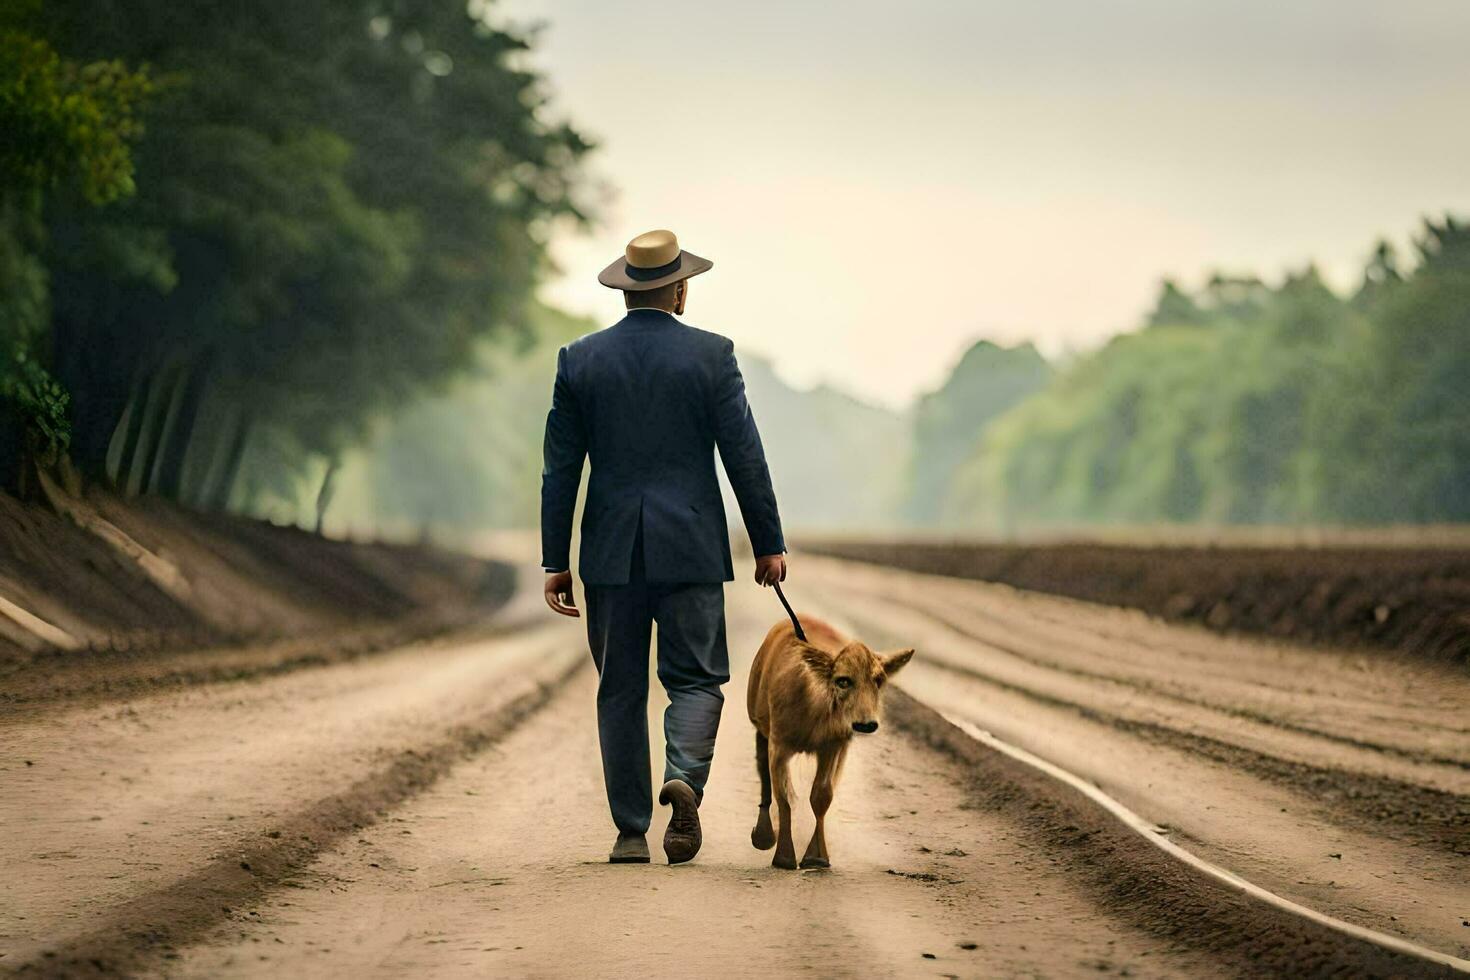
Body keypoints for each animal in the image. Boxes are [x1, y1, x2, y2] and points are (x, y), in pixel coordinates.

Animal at [746, 617, 905, 869]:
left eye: (879, 680)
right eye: (843, 681)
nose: (867, 724)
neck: (816, 713)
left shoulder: (833, 746)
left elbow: (821, 796)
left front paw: (817, 856)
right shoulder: (778, 742)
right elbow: (783, 797)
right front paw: (784, 856)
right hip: (758, 718)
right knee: (763, 768)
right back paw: (763, 835)